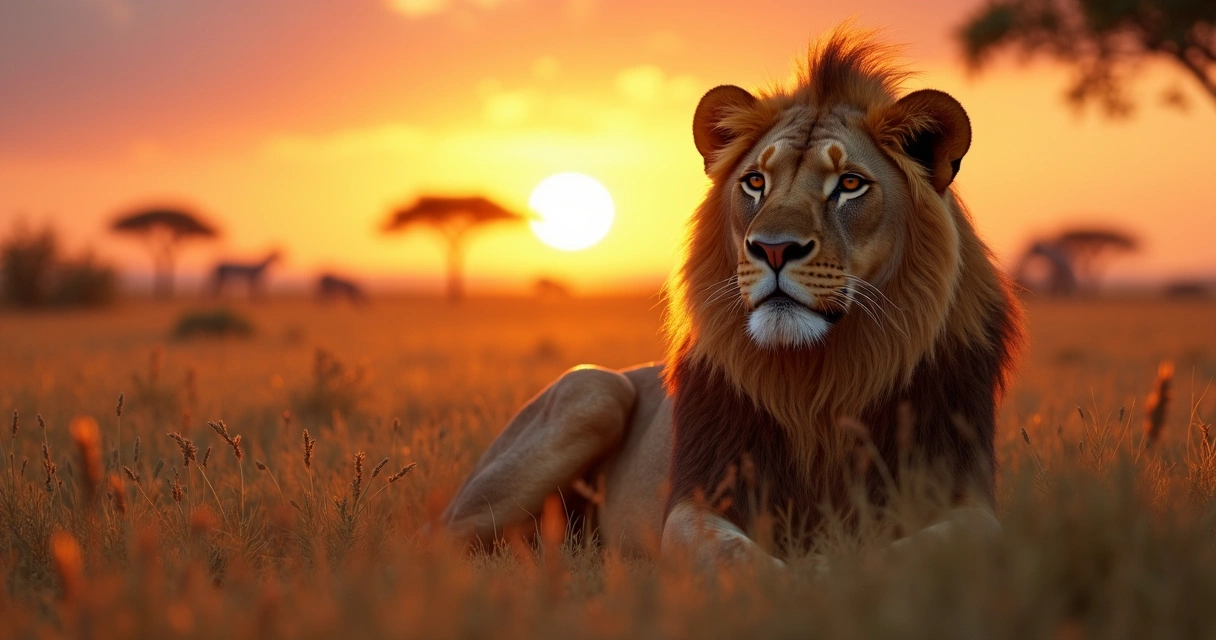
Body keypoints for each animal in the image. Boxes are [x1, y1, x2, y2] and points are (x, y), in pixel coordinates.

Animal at [441, 26, 1023, 568]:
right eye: (755, 182)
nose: (774, 248)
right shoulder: (699, 496)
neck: (821, 379)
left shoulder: (962, 491)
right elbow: (733, 556)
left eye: (851, 184)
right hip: (595, 391)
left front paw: (832, 568)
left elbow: (917, 548)